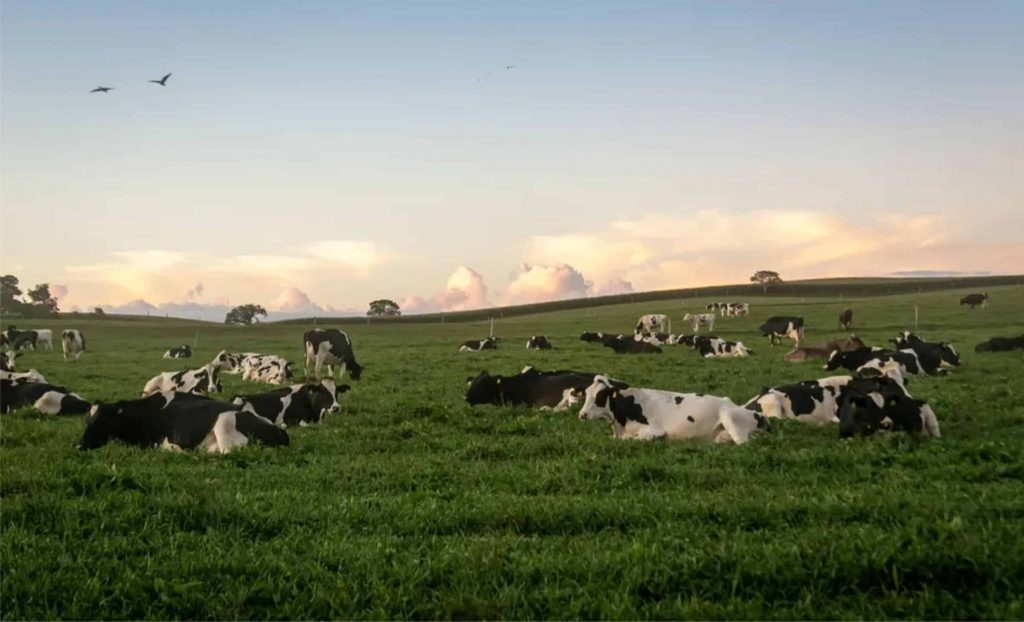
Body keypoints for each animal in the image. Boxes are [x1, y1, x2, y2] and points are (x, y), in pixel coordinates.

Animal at [577, 375, 770, 442]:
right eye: (586, 394)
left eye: (600, 396)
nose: (582, 414)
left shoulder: (654, 432)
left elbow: (633, 439)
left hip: (732, 421)